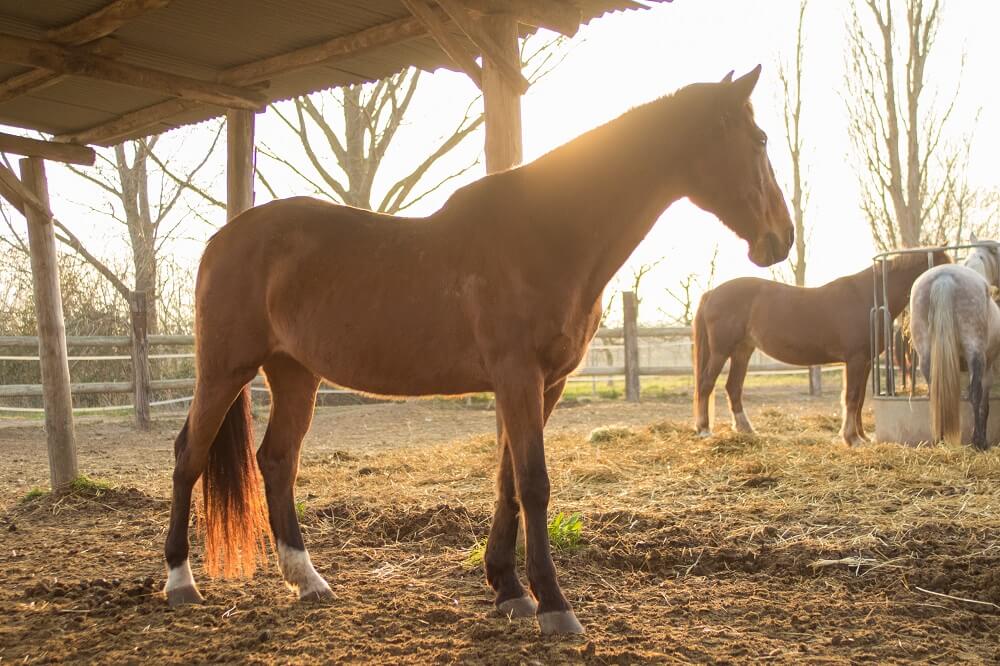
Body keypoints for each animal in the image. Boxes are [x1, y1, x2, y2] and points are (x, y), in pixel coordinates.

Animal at [164, 66, 792, 632]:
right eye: (759, 140)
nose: (782, 238)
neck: (547, 232)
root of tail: (222, 239)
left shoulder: (547, 383)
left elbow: (508, 482)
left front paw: (509, 589)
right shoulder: (518, 376)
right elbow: (534, 483)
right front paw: (554, 605)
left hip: (294, 372)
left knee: (277, 461)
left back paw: (308, 580)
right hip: (224, 368)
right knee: (190, 455)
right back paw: (181, 583)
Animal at [692, 249, 948, 446]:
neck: (866, 297)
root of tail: (711, 293)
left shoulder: (864, 362)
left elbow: (859, 399)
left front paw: (862, 437)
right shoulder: (855, 359)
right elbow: (851, 398)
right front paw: (851, 439)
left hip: (742, 351)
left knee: (733, 387)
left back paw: (746, 429)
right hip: (721, 351)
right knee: (706, 384)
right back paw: (704, 429)